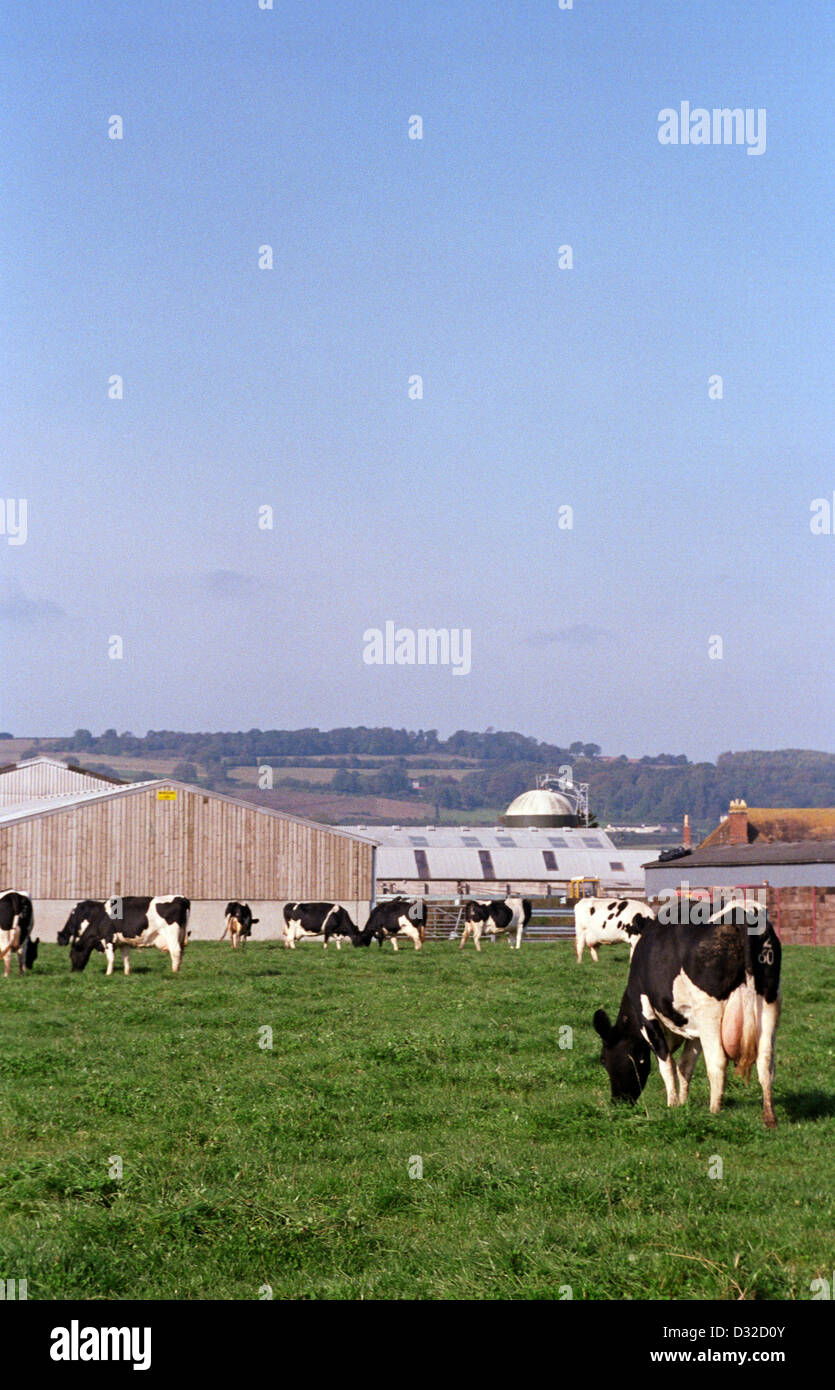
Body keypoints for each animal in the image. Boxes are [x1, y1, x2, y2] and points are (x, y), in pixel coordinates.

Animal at [58, 895, 190, 973]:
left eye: (71, 955)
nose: (73, 972)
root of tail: (181, 898)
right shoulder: (123, 942)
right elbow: (125, 957)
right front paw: (127, 973)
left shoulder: (107, 938)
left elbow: (110, 958)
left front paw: (108, 974)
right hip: (181, 935)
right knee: (181, 952)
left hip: (171, 934)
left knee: (175, 951)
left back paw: (174, 972)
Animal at [589, 900, 778, 1128]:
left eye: (603, 1059)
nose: (617, 1101)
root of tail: (740, 912)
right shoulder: (693, 1027)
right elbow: (685, 1065)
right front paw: (683, 1103)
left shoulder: (647, 1014)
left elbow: (666, 1063)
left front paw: (672, 1104)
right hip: (768, 1003)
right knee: (766, 1061)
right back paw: (769, 1117)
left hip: (710, 1012)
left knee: (717, 1062)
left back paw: (714, 1112)